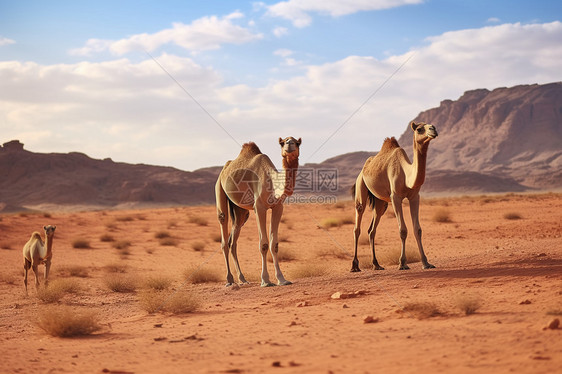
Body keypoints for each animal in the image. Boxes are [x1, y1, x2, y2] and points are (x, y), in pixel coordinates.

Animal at [214, 137, 300, 286]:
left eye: (297, 142)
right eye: (282, 142)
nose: (290, 144)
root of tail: (225, 169)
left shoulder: (278, 207)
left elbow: (274, 244)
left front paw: (282, 279)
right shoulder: (259, 207)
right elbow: (263, 244)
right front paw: (265, 280)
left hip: (241, 211)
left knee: (233, 240)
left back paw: (242, 279)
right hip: (219, 187)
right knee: (224, 233)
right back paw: (229, 280)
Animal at [350, 122, 438, 272]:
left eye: (433, 126)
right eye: (419, 129)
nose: (433, 130)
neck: (406, 175)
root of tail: (363, 169)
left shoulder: (415, 196)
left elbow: (417, 229)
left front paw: (426, 263)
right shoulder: (395, 197)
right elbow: (402, 230)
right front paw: (402, 263)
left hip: (381, 202)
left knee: (372, 230)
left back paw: (376, 264)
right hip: (361, 186)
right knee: (357, 226)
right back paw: (355, 266)